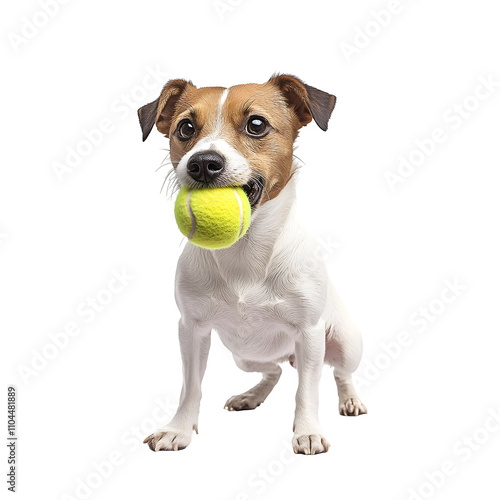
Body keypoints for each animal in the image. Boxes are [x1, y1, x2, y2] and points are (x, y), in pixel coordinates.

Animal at [138, 73, 368, 454]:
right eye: (185, 127)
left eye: (256, 125)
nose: (203, 162)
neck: (244, 252)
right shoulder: (192, 330)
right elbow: (191, 386)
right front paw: (178, 429)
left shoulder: (310, 333)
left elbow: (307, 391)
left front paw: (307, 431)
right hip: (243, 355)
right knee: (273, 371)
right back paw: (251, 396)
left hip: (344, 342)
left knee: (340, 373)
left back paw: (350, 399)